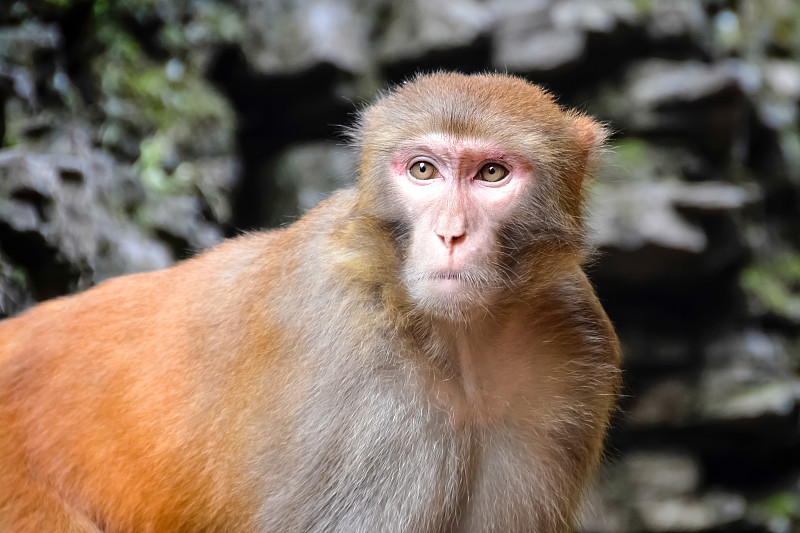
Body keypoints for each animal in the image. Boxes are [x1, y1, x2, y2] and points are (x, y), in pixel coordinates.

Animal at [0, 71, 620, 532]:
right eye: (424, 169)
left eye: (492, 173)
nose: (450, 233)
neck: (454, 339)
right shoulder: (351, 358)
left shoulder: (574, 347)